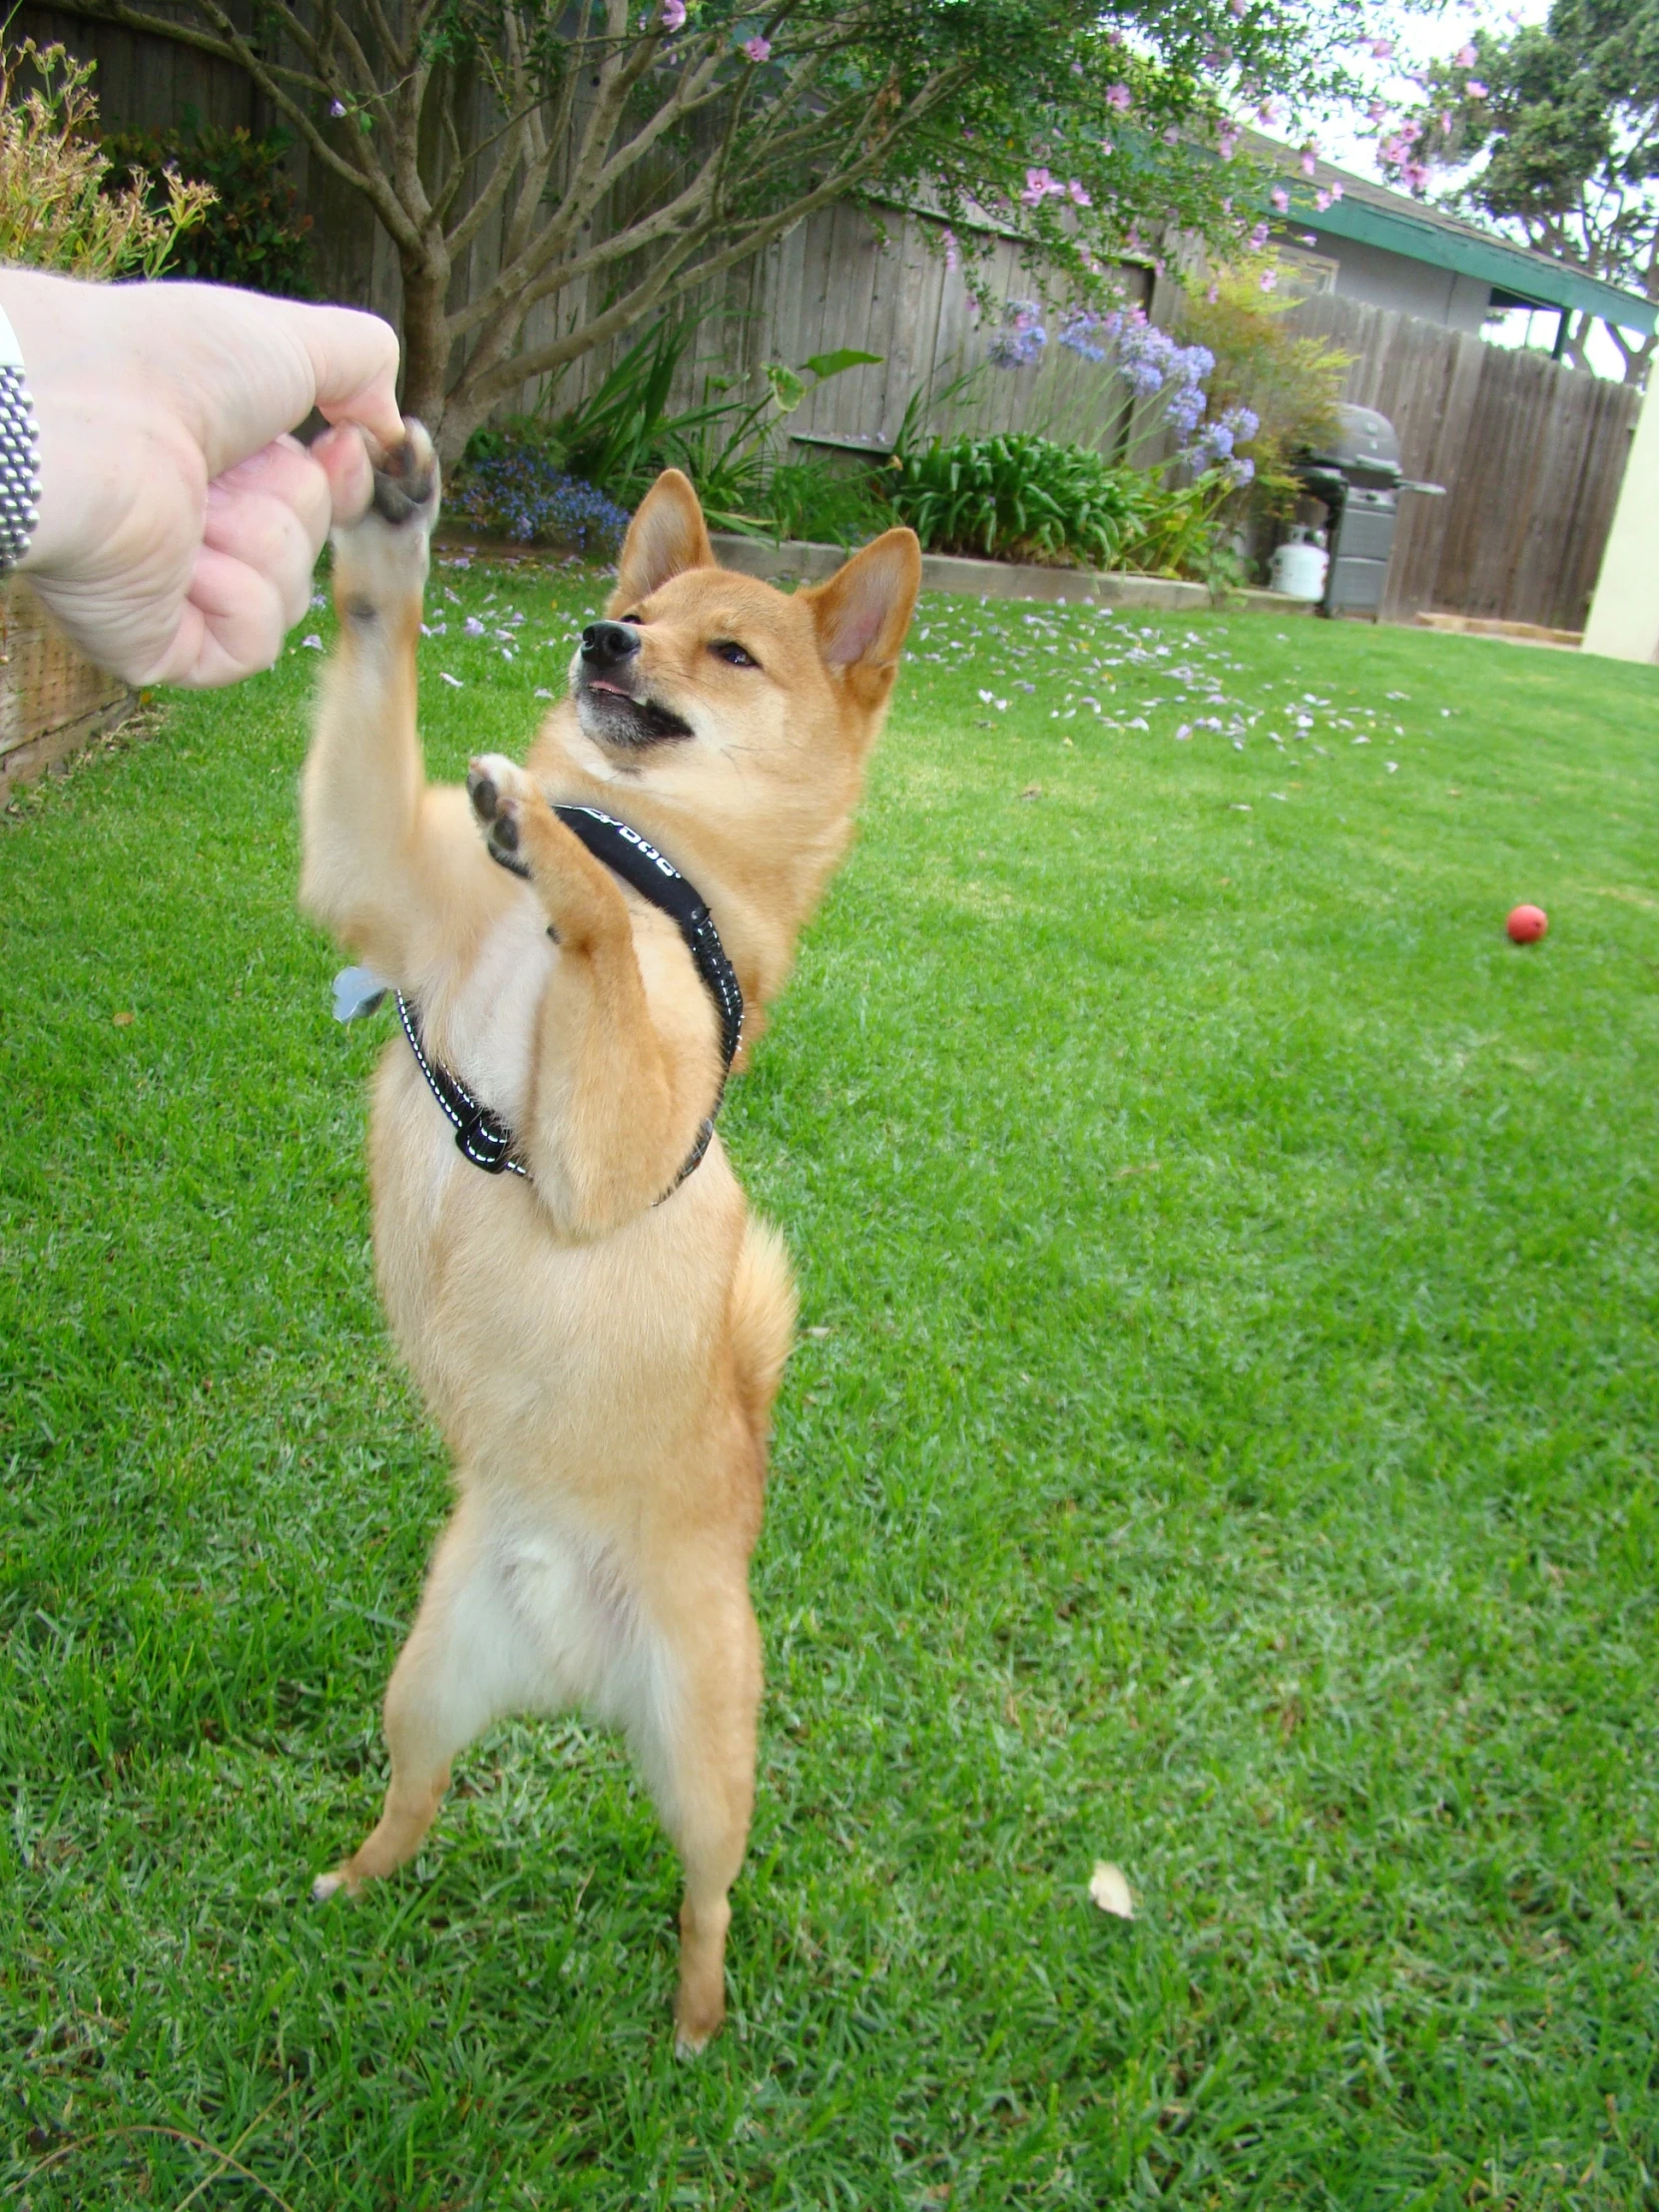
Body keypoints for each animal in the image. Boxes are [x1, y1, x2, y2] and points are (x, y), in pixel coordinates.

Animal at [298, 417, 924, 2052]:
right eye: (637, 614)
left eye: (731, 649)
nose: (602, 636)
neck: (657, 852)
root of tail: (568, 1662)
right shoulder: (372, 876)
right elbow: (379, 660)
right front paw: (388, 535)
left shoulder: (611, 1144)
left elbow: (596, 933)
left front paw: (554, 848)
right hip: (425, 1681)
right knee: (416, 1797)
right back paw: (348, 1885)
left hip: (707, 1763)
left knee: (709, 1897)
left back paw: (697, 2022)